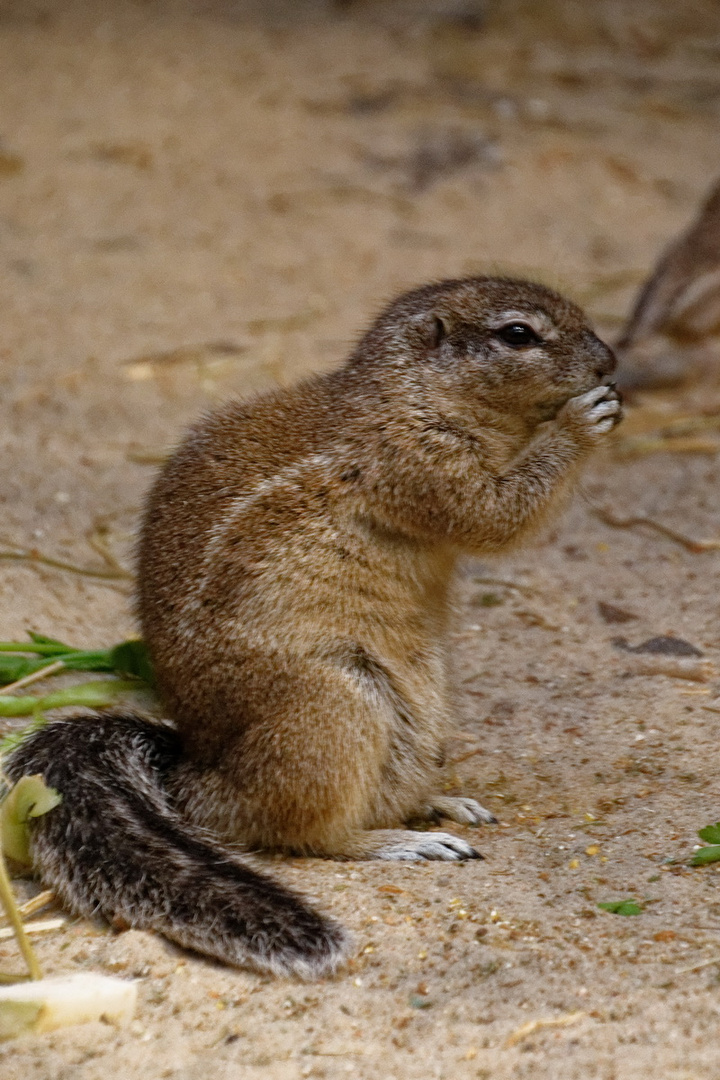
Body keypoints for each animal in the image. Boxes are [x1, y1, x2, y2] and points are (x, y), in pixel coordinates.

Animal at [5, 276, 621, 980]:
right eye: (518, 333)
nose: (609, 362)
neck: (408, 392)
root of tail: (196, 775)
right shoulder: (418, 462)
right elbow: (497, 514)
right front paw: (581, 420)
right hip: (334, 705)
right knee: (303, 833)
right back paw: (402, 841)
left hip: (422, 706)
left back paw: (439, 804)